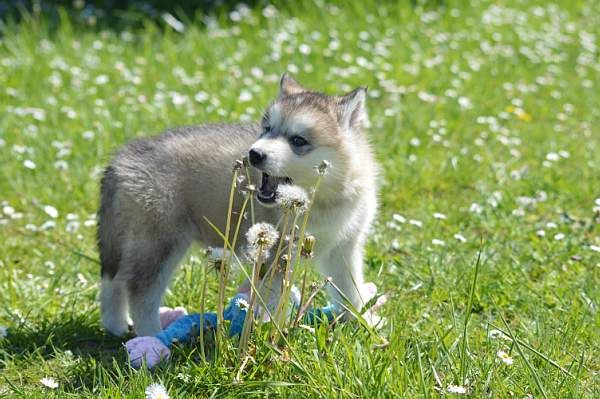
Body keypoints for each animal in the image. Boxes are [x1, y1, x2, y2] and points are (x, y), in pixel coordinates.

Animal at [98, 75, 380, 338]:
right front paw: (269, 332)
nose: (254, 154)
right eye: (267, 128)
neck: (323, 199)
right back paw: (152, 336)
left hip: (132, 240)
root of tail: (120, 161)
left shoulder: (344, 247)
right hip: (159, 241)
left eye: (298, 140)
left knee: (115, 280)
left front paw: (362, 322)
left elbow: (350, 287)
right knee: (139, 290)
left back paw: (117, 326)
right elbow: (272, 299)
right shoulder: (275, 253)